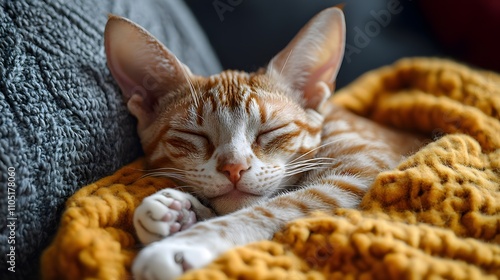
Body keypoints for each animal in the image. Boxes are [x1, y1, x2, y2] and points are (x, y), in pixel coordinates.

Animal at [104, 6, 422, 280]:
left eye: (270, 130)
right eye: (195, 135)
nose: (234, 167)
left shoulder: (358, 178)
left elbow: (270, 209)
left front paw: (184, 244)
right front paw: (179, 214)